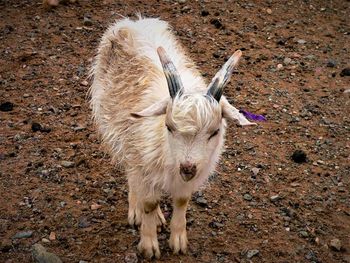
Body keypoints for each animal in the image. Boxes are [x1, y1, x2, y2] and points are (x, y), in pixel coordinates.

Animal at [89, 17, 254, 260]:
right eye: (169, 127)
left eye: (214, 132)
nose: (187, 167)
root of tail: (132, 21)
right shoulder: (143, 161)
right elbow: (149, 202)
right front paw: (148, 245)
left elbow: (181, 200)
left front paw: (178, 240)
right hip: (114, 125)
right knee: (131, 172)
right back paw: (138, 209)